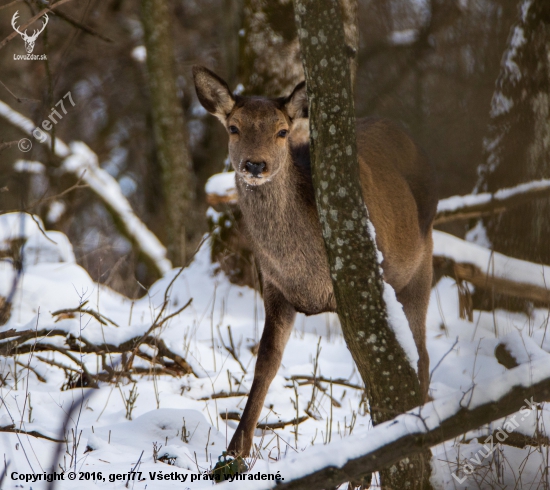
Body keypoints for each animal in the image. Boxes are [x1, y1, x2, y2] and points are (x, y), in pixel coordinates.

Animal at [194, 66, 440, 460]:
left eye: (281, 131)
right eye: (234, 127)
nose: (255, 164)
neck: (304, 272)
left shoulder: (359, 285)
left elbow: (370, 367)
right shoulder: (274, 288)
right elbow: (266, 362)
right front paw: (233, 454)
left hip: (419, 267)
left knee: (421, 355)